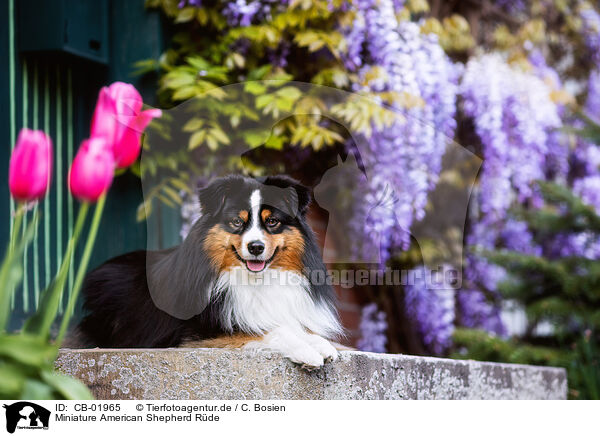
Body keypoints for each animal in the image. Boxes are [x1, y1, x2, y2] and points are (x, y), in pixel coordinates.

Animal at [76, 174, 342, 368]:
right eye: (237, 222)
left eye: (272, 222)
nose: (255, 247)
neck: (255, 280)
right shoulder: (198, 331)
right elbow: (268, 330)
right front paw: (306, 350)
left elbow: (294, 326)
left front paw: (321, 344)